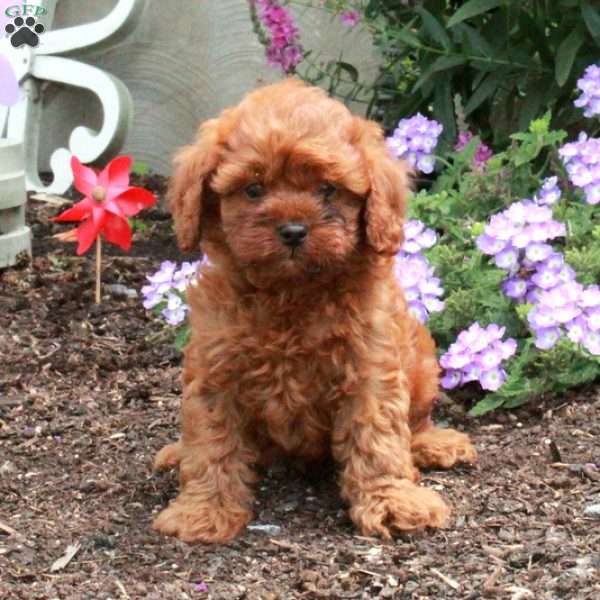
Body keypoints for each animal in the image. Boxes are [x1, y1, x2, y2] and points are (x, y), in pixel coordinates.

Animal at [152, 78, 476, 544]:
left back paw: (435, 443)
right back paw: (176, 454)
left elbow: (378, 439)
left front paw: (392, 502)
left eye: (328, 189)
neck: (291, 293)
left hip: (421, 361)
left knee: (415, 422)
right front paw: (203, 510)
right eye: (253, 189)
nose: (292, 230)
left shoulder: (370, 369)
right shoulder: (214, 370)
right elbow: (211, 440)